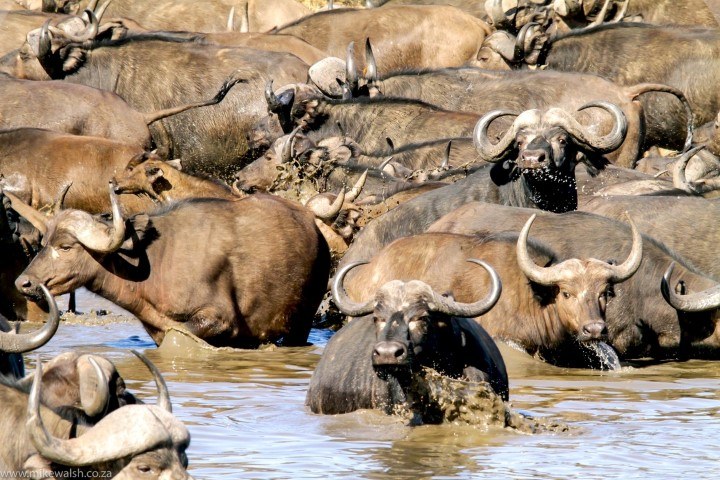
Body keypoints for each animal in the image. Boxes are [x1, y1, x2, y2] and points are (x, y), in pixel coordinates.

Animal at [11, 186, 332, 346]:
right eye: (44, 243)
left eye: (65, 247)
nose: (23, 283)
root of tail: (312, 225)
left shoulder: (218, 319)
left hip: (302, 322)